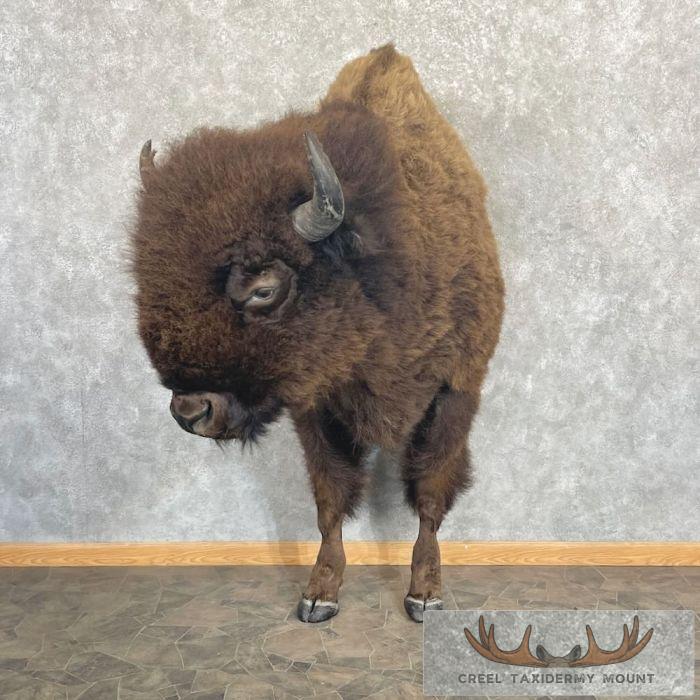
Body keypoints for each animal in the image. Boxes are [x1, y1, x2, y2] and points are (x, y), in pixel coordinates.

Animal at [131, 44, 504, 622]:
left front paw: (425, 593)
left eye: (263, 288)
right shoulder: (315, 408)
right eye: (149, 278)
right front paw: (319, 594)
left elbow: (430, 495)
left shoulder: (456, 390)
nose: (191, 412)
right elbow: (330, 500)